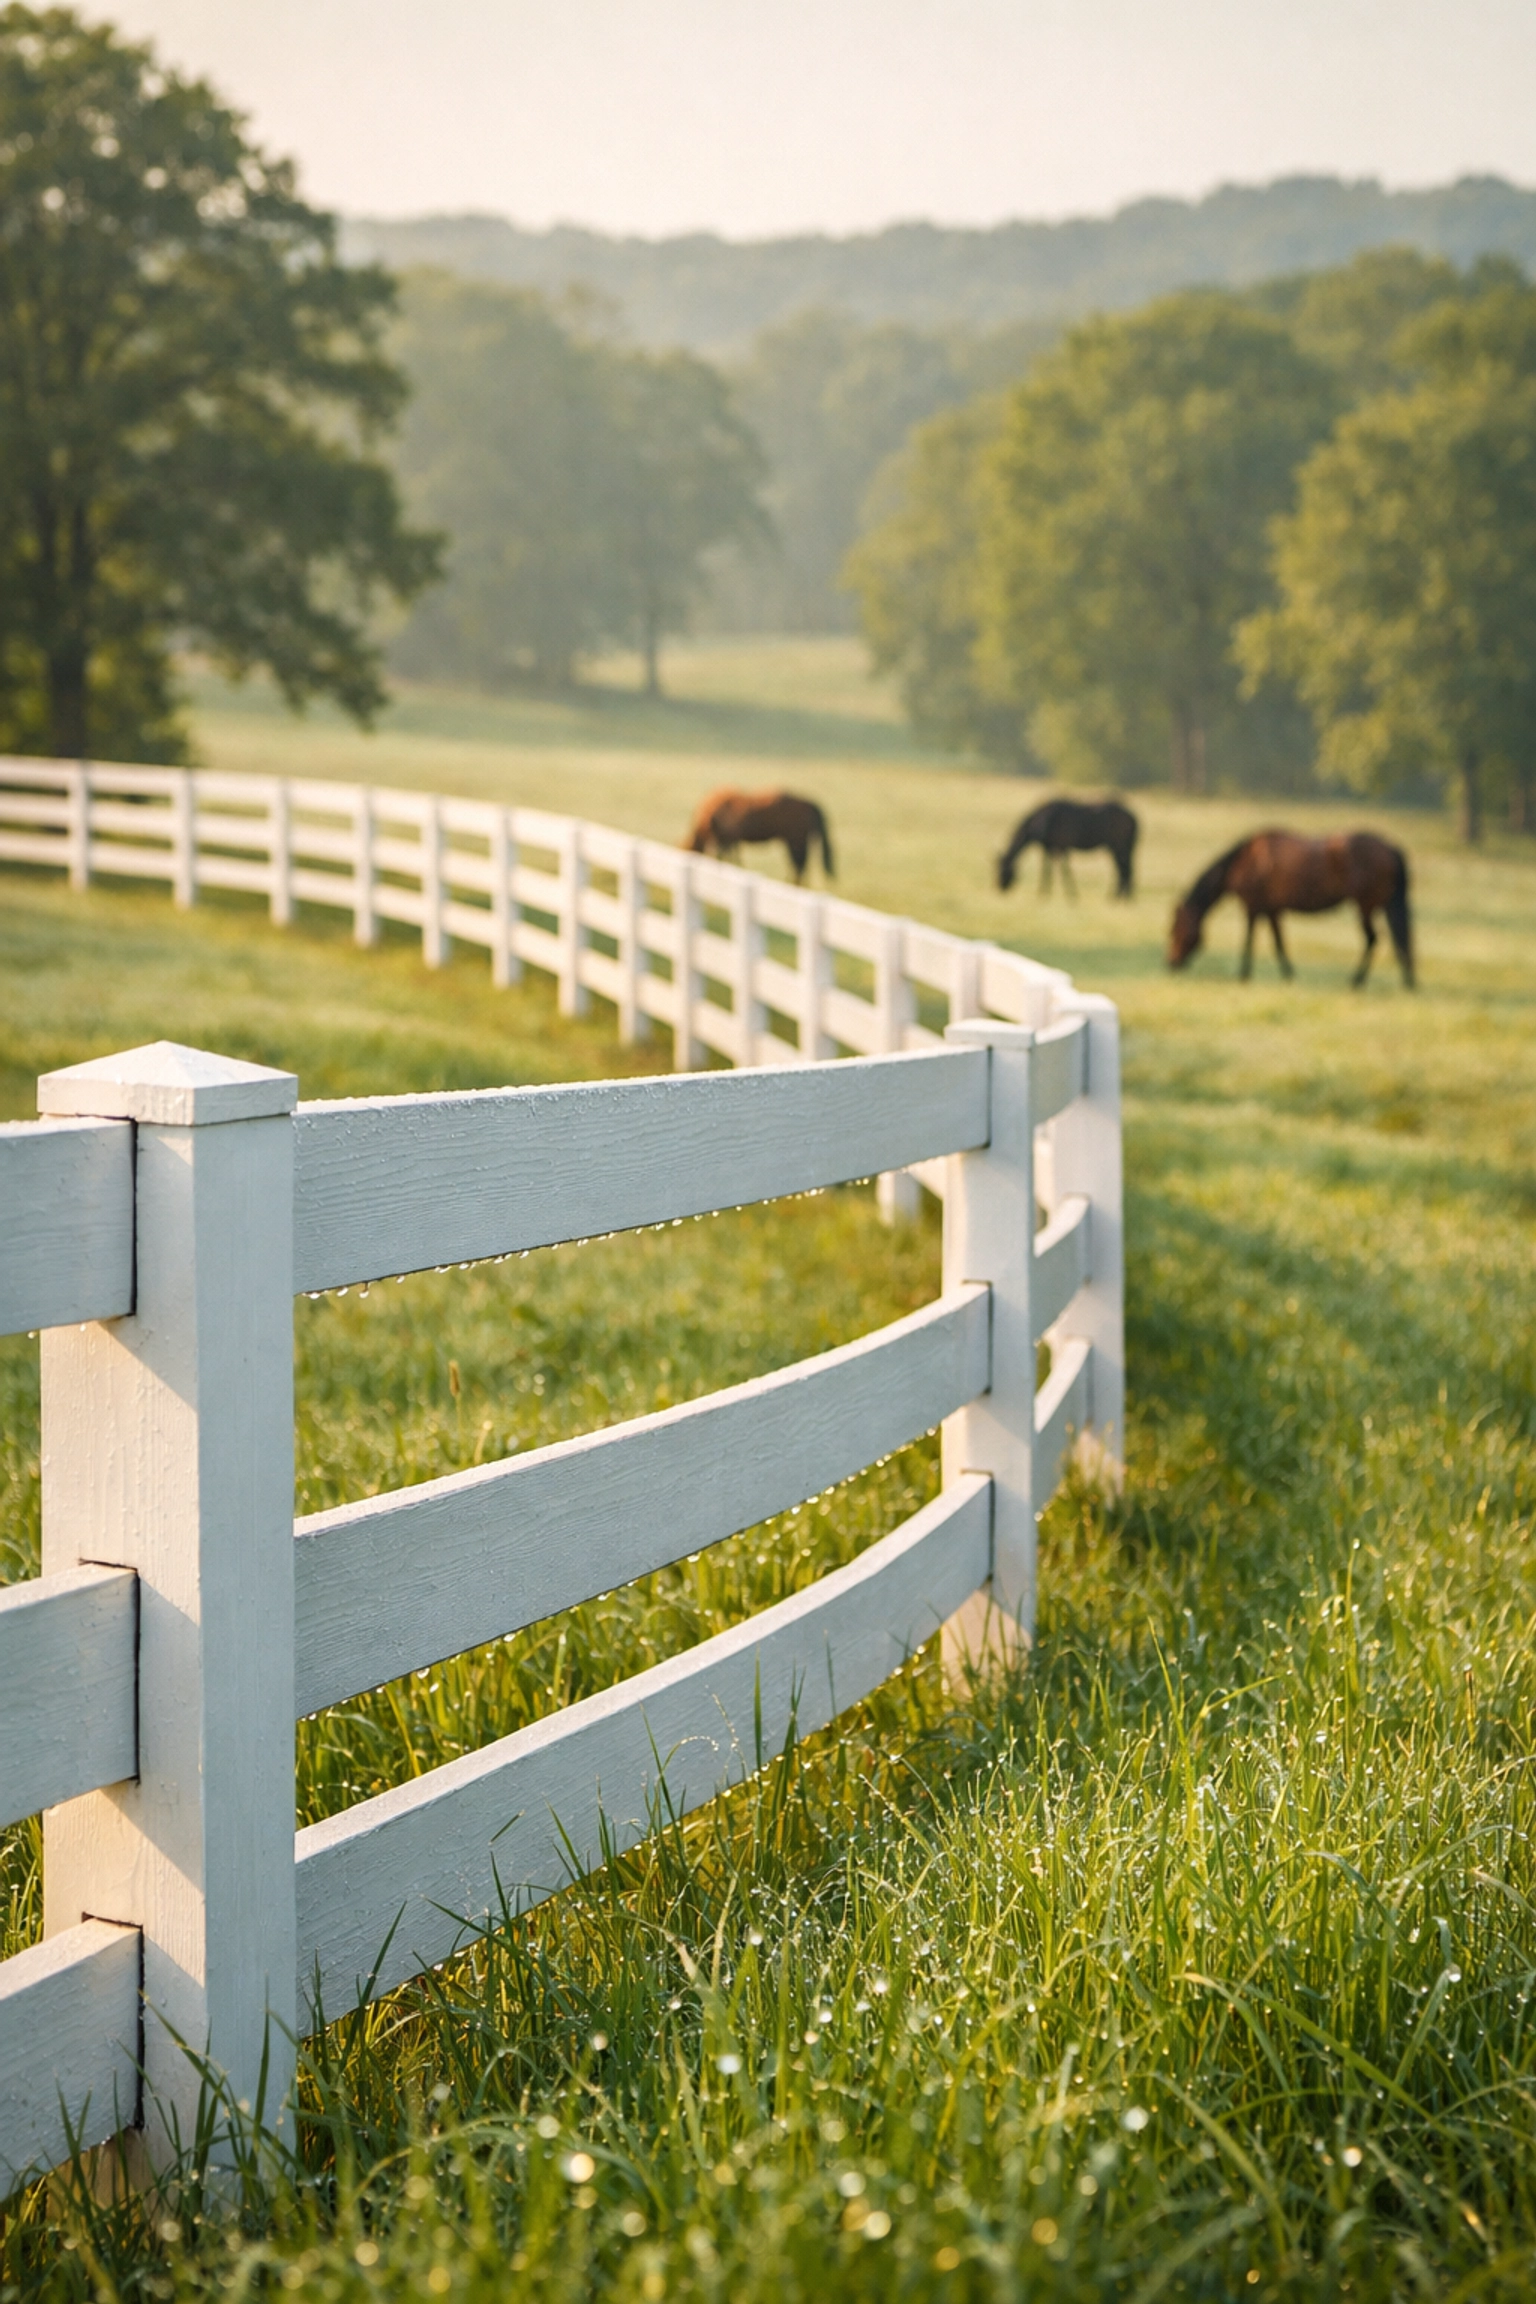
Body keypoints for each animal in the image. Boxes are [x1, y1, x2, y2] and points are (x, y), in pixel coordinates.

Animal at [685, 788, 834, 883]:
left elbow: (728, 857)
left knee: (799, 864)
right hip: (795, 842)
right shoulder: (730, 840)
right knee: (800, 864)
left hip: (796, 841)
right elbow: (732, 857)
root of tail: (809, 804)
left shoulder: (728, 838)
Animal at [996, 797, 1138, 898]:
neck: (1042, 823)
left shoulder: (1061, 846)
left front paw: (1068, 895)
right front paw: (1046, 893)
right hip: (1121, 848)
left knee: (1124, 869)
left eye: (1003, 869)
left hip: (1119, 847)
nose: (999, 887)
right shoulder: (1050, 848)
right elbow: (1048, 869)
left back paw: (1118, 897)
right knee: (1124, 869)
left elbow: (1063, 870)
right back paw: (1122, 897)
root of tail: (1134, 817)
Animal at [1168, 828, 1414, 986]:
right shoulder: (1272, 910)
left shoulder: (1252, 907)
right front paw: (1288, 975)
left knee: (1373, 939)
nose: (1170, 964)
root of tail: (1390, 848)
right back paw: (1406, 981)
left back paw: (1357, 981)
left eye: (1174, 931)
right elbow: (1279, 942)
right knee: (1397, 939)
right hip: (1383, 904)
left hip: (1365, 905)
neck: (1246, 862)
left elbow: (1249, 940)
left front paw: (1243, 975)